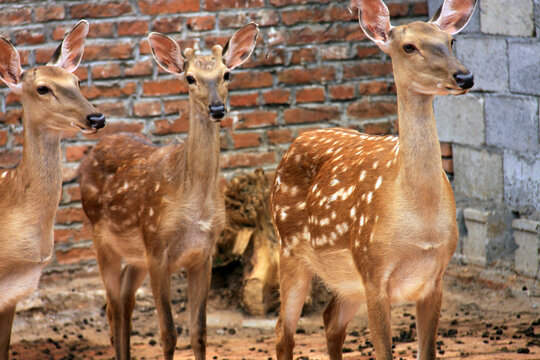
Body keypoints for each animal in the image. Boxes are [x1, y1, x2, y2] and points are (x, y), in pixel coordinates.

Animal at [78, 23, 260, 360]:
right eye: (190, 78)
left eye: (227, 74)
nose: (217, 109)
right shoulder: (157, 247)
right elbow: (168, 333)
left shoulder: (203, 254)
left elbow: (199, 331)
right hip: (102, 237)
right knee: (112, 306)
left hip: (136, 254)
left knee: (124, 300)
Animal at [272, 0, 474, 360]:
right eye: (409, 47)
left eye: (450, 41)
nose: (464, 76)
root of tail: (294, 142)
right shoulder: (372, 270)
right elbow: (383, 352)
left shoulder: (435, 277)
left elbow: (427, 352)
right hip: (290, 248)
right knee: (284, 330)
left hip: (346, 280)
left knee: (331, 320)